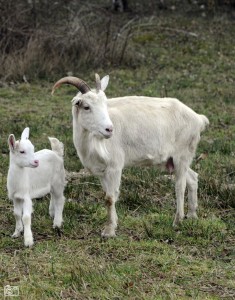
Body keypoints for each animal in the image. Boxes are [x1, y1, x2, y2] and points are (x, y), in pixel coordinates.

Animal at [51, 74, 209, 237]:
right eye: (86, 106)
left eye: (105, 105)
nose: (109, 129)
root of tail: (199, 119)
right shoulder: (101, 171)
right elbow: (108, 195)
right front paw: (114, 224)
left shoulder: (115, 166)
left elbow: (110, 198)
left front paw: (109, 231)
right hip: (173, 161)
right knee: (193, 178)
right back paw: (192, 215)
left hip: (181, 156)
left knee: (180, 185)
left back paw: (177, 221)